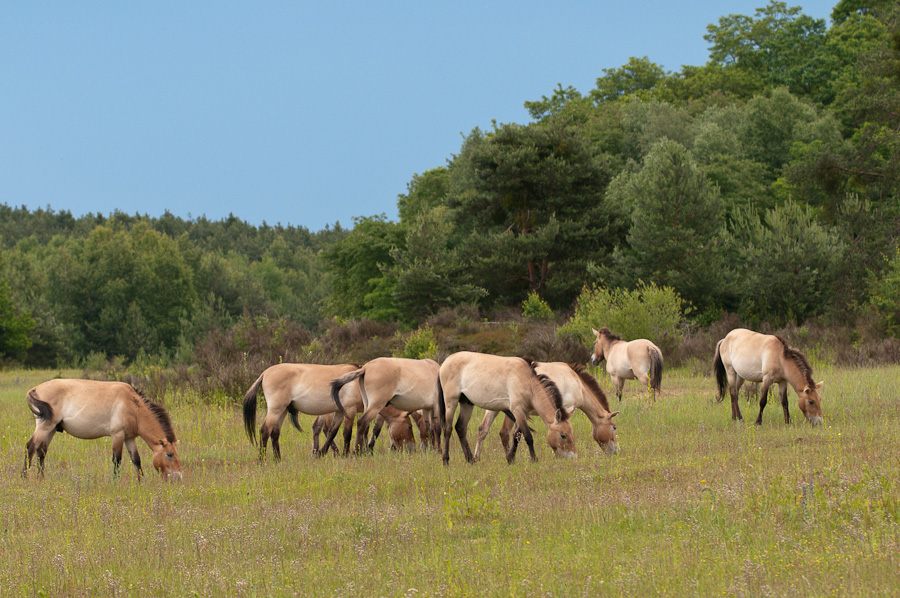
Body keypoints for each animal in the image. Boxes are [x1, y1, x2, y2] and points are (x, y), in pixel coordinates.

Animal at [22, 379, 183, 481]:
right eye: (169, 454)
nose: (178, 477)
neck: (133, 406)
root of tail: (34, 389)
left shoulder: (130, 438)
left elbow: (136, 460)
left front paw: (141, 482)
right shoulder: (117, 435)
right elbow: (117, 460)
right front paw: (115, 482)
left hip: (51, 429)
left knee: (41, 452)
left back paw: (41, 478)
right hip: (45, 427)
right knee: (30, 447)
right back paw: (24, 477)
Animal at [437, 351, 576, 465]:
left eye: (571, 433)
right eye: (563, 435)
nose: (572, 457)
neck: (527, 381)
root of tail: (445, 362)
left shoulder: (524, 412)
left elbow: (516, 435)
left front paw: (510, 458)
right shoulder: (517, 410)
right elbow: (528, 436)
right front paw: (534, 459)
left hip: (467, 404)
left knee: (460, 428)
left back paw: (470, 459)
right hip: (451, 402)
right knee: (448, 429)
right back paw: (446, 460)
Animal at [472, 362, 619, 459]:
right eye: (614, 427)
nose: (616, 451)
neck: (578, 384)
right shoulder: (565, 409)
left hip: (494, 408)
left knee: (487, 430)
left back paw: (478, 458)